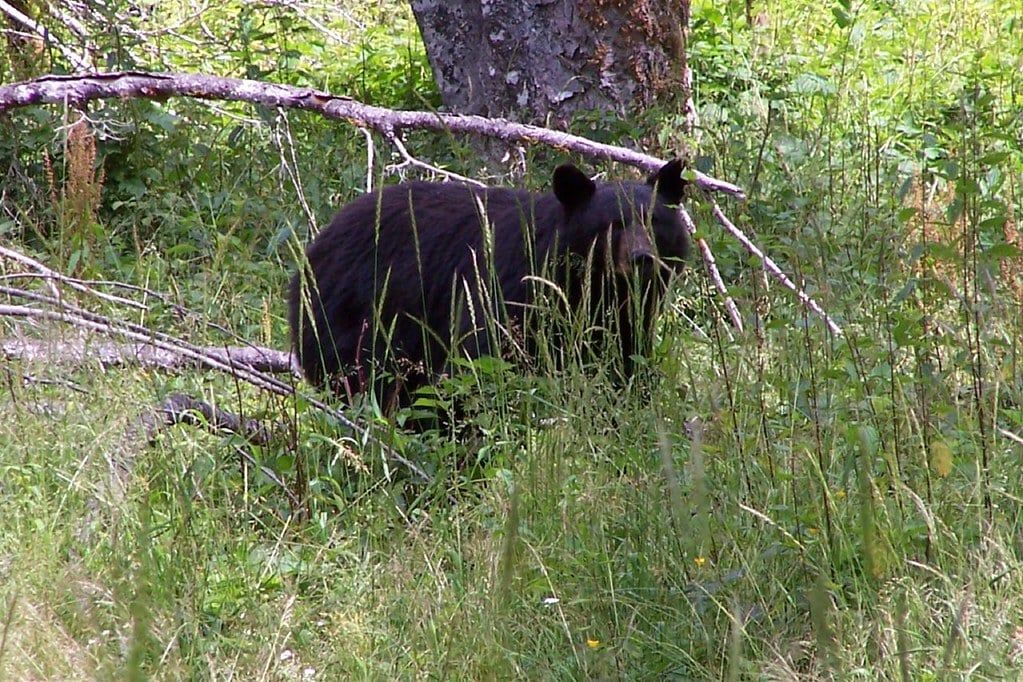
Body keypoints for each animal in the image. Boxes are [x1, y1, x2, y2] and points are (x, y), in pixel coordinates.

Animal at [288, 159, 690, 412]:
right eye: (612, 224)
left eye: (653, 221)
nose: (641, 259)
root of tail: (312, 250)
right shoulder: (507, 292)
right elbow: (483, 359)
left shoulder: (620, 319)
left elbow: (623, 362)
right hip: (357, 321)